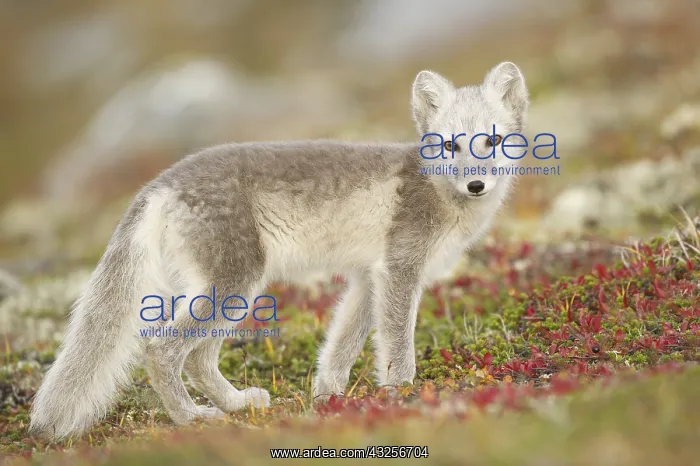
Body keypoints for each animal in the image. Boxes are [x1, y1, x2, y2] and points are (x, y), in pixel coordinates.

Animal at [29, 62, 529, 440]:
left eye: (493, 141)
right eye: (449, 145)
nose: (477, 184)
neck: (439, 193)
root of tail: (158, 183)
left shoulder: (369, 276)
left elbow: (340, 346)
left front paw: (330, 400)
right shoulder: (400, 269)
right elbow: (396, 344)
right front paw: (403, 394)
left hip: (226, 293)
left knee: (199, 359)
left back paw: (236, 404)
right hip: (235, 286)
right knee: (164, 349)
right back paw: (192, 418)